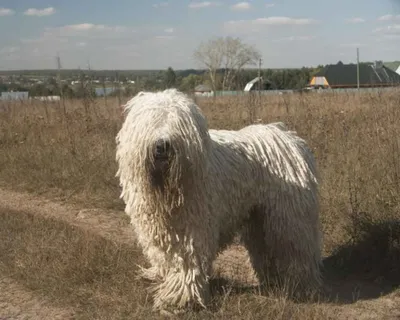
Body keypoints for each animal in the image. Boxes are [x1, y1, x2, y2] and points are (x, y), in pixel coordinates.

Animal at [115, 87, 322, 312]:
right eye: (150, 121)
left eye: (178, 123)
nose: (162, 145)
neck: (167, 190)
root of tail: (289, 138)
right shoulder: (158, 231)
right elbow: (164, 258)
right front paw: (161, 279)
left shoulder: (192, 230)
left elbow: (188, 263)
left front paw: (180, 299)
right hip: (257, 216)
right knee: (262, 245)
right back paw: (270, 279)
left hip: (289, 215)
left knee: (296, 247)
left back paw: (300, 285)